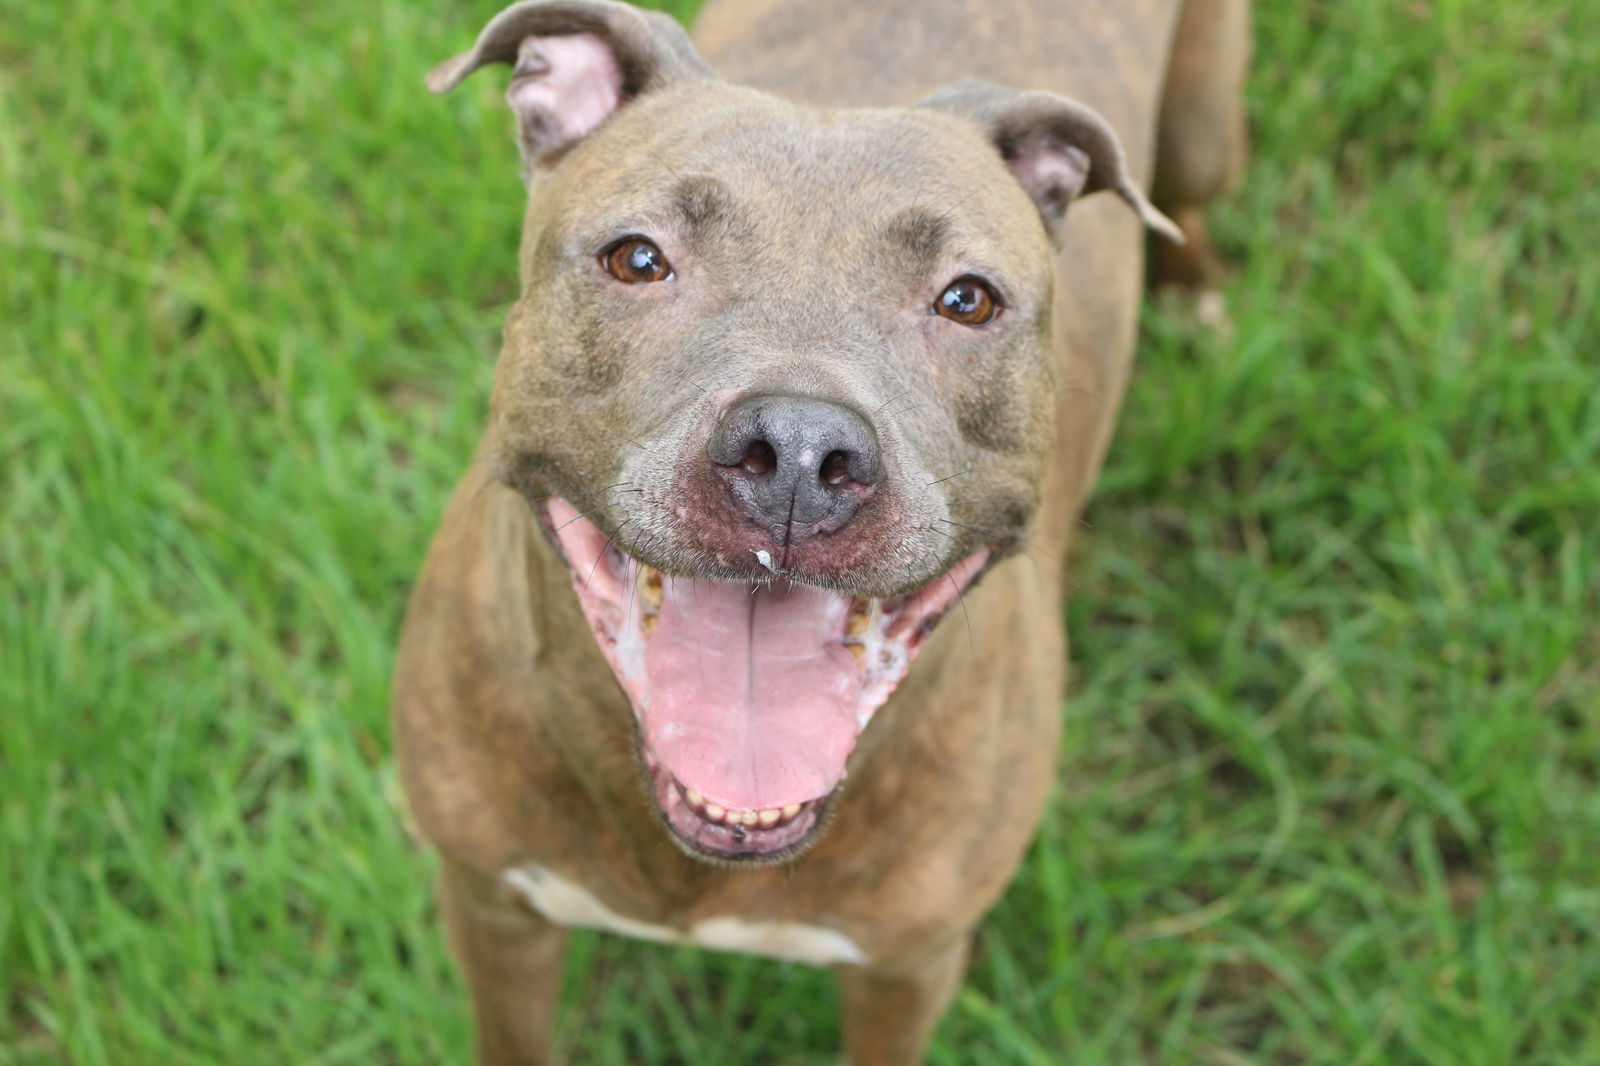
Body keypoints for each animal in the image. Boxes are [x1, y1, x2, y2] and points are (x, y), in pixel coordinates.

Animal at [390, 0, 1248, 1056]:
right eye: (638, 257)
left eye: (968, 298)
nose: (798, 450)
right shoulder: (491, 908)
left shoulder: (907, 968)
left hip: (1205, 123)